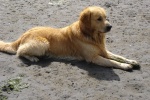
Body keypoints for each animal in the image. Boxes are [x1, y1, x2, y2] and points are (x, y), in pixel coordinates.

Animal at [0, 6, 139, 70]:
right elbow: (112, 62)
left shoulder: (103, 51)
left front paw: (132, 61)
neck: (91, 36)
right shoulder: (93, 58)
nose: (110, 26)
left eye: (106, 17)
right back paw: (32, 58)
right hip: (44, 43)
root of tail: (24, 34)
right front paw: (126, 66)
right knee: (19, 51)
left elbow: (119, 56)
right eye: (99, 18)